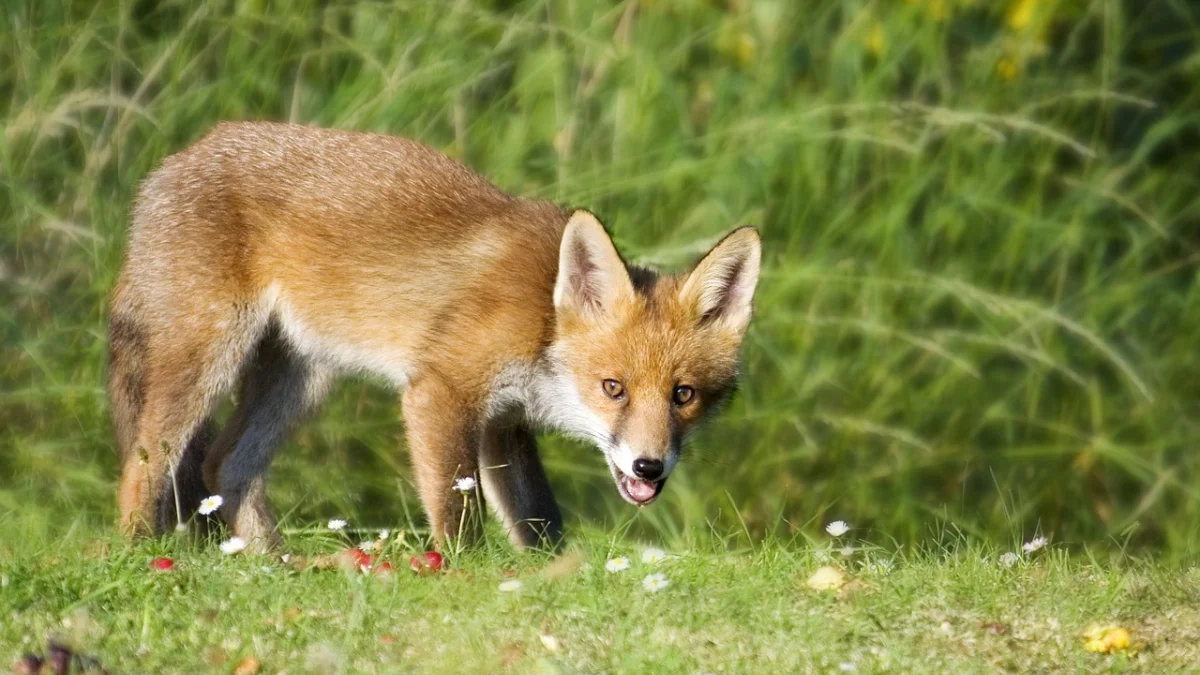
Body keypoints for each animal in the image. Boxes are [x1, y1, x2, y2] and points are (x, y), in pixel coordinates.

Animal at [103, 121, 758, 552]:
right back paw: (138, 556)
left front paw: (547, 574)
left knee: (225, 466)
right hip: (210, 354)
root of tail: (167, 167)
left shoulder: (502, 422)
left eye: (683, 395)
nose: (649, 466)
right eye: (612, 387)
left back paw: (276, 565)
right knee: (143, 463)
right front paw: (461, 573)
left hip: (301, 378)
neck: (542, 319)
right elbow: (457, 514)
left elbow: (539, 521)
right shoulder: (442, 391)